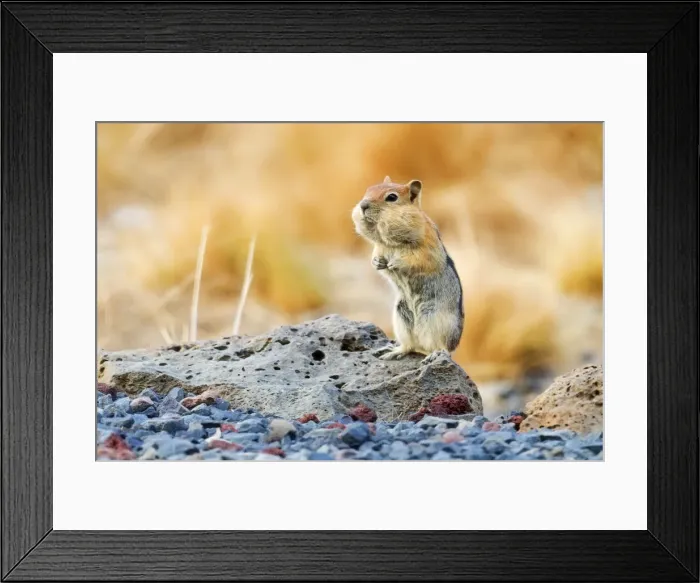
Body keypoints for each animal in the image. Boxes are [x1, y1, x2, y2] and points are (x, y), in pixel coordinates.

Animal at [352, 176, 464, 361]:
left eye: (391, 197)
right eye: (369, 189)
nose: (363, 205)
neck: (391, 242)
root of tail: (423, 347)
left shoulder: (426, 250)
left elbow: (417, 260)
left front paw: (396, 263)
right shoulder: (379, 247)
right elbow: (376, 257)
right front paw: (377, 263)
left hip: (437, 322)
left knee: (444, 348)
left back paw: (436, 354)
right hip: (401, 319)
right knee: (409, 346)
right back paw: (391, 352)